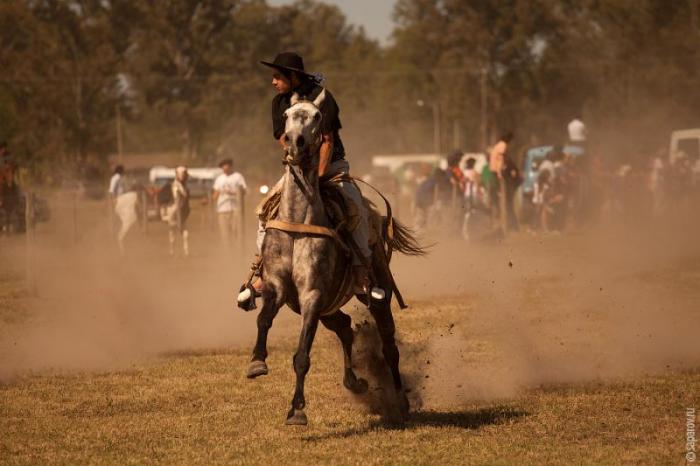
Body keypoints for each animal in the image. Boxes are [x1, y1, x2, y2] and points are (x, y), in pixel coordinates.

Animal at [252, 90, 424, 426]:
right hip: (326, 307)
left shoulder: (312, 294)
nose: (295, 142)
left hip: (375, 293)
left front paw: (297, 409)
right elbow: (263, 319)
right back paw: (355, 382)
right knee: (344, 326)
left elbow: (302, 355)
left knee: (389, 346)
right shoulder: (278, 288)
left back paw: (400, 402)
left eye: (318, 116)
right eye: (287, 114)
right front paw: (257, 362)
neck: (298, 222)